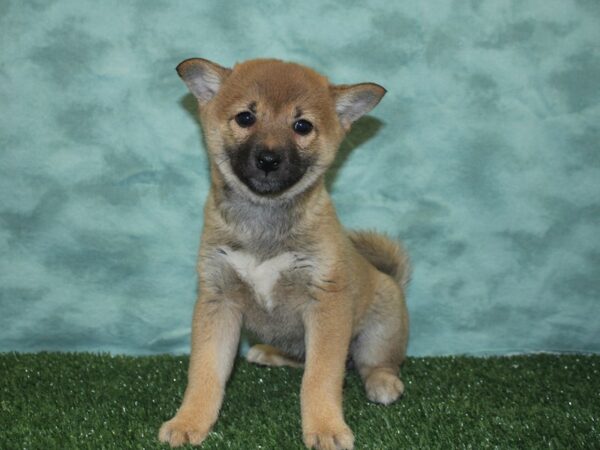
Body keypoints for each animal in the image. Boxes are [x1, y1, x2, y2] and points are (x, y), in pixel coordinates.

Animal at [157, 57, 410, 450]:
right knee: (302, 359)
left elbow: (320, 378)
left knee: (373, 363)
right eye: (246, 117)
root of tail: (390, 278)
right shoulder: (218, 301)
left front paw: (325, 427)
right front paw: (190, 420)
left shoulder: (326, 306)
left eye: (302, 125)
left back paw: (383, 382)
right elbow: (205, 372)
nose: (268, 159)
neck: (264, 220)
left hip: (379, 330)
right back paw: (269, 353)